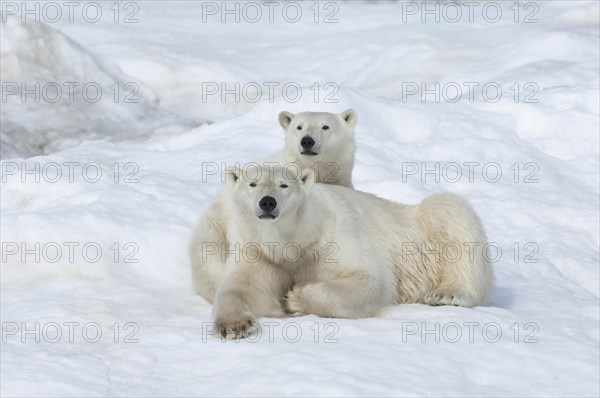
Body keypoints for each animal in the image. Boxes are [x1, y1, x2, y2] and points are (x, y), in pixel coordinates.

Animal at [210, 165, 492, 338]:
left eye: (283, 185)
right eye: (252, 183)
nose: (267, 202)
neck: (294, 242)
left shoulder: (333, 237)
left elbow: (370, 280)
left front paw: (295, 298)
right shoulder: (257, 251)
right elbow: (243, 288)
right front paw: (235, 325)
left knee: (449, 211)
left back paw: (447, 294)